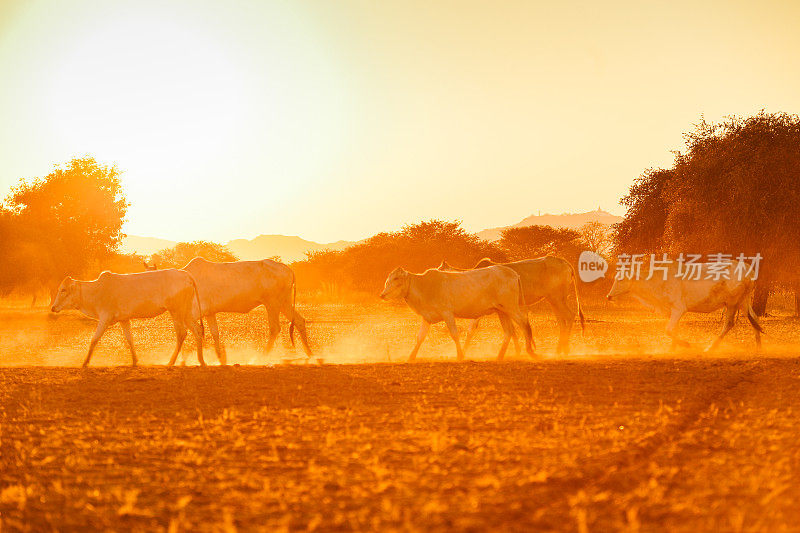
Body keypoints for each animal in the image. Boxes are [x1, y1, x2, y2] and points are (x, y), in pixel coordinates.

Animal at [50, 270, 206, 366]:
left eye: (63, 289)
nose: (53, 307)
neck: (96, 291)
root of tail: (185, 275)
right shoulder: (124, 320)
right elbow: (129, 340)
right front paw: (135, 361)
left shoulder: (105, 318)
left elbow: (94, 340)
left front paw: (85, 363)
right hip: (186, 313)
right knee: (197, 331)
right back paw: (201, 361)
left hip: (176, 311)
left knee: (182, 333)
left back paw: (171, 362)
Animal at [380, 266, 536, 362]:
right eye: (389, 278)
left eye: (396, 279)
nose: (383, 294)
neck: (425, 286)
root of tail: (513, 273)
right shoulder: (427, 317)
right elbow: (420, 337)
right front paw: (410, 357)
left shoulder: (447, 313)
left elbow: (454, 334)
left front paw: (460, 355)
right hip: (502, 311)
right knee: (509, 331)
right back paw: (499, 356)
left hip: (511, 308)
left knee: (524, 323)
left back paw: (530, 351)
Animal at [608, 260, 764, 350]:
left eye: (621, 279)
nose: (608, 296)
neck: (659, 280)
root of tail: (749, 271)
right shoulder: (671, 312)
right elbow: (674, 330)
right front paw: (672, 349)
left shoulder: (679, 309)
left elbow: (668, 330)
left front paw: (686, 344)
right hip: (743, 302)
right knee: (755, 318)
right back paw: (758, 347)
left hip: (732, 303)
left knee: (729, 324)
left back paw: (711, 348)